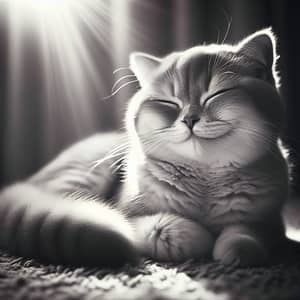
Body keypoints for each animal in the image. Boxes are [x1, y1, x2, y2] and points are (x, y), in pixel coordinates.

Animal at [0, 28, 296, 268]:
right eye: (168, 103)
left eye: (217, 94)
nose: (190, 119)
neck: (206, 182)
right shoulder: (132, 214)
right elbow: (168, 230)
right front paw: (203, 238)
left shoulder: (270, 221)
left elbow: (248, 234)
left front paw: (234, 250)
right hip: (84, 175)